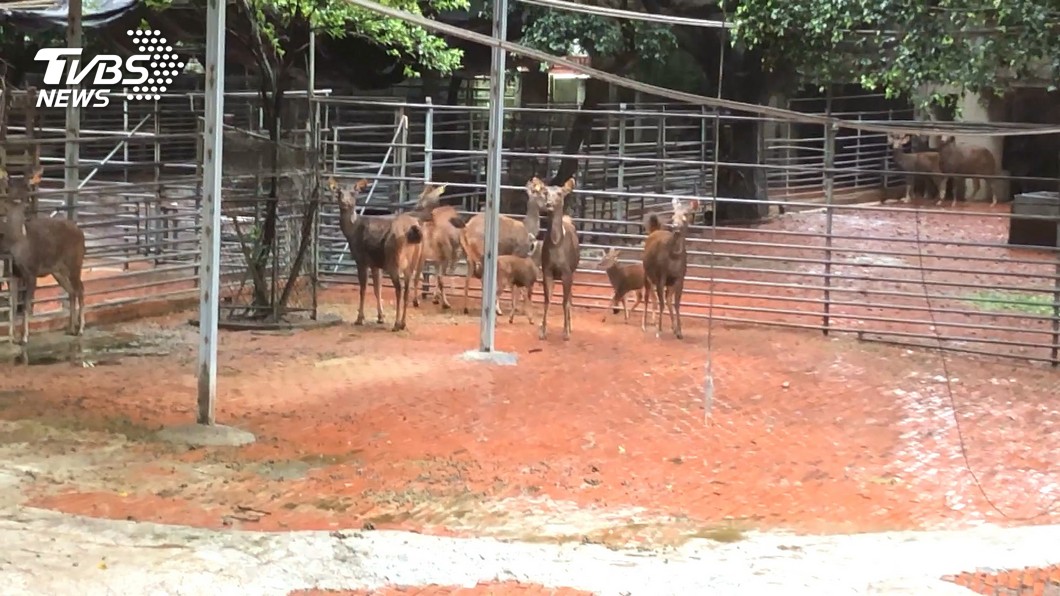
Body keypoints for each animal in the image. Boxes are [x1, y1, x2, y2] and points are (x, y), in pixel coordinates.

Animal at [0, 167, 87, 345]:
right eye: (9, 186)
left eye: (27, 186)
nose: (18, 200)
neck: (19, 244)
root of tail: (81, 232)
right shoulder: (12, 273)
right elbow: (13, 306)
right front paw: (13, 337)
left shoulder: (31, 271)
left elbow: (26, 305)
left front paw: (25, 337)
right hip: (58, 270)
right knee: (71, 291)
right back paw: (70, 328)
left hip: (75, 262)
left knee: (80, 289)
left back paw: (81, 328)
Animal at [328, 177, 424, 332]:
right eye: (339, 193)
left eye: (353, 193)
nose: (345, 202)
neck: (351, 232)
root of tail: (412, 231)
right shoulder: (375, 264)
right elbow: (377, 289)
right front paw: (380, 317)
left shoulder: (361, 259)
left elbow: (363, 289)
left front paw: (359, 318)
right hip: (413, 260)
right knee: (407, 289)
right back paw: (403, 323)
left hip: (394, 259)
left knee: (399, 289)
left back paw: (396, 323)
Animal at [524, 176, 579, 341]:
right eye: (545, 192)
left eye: (560, 193)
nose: (549, 204)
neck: (556, 245)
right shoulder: (547, 270)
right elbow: (547, 300)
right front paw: (542, 330)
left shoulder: (567, 272)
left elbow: (564, 302)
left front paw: (566, 332)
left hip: (573, 271)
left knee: (569, 299)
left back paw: (570, 326)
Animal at [642, 197, 699, 340]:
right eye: (673, 215)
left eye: (686, 214)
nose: (676, 227)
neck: (674, 257)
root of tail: (654, 230)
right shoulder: (661, 275)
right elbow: (661, 302)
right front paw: (659, 330)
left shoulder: (680, 277)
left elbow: (676, 304)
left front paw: (679, 331)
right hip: (646, 273)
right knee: (647, 297)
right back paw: (644, 325)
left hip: (669, 282)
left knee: (667, 299)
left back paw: (673, 327)